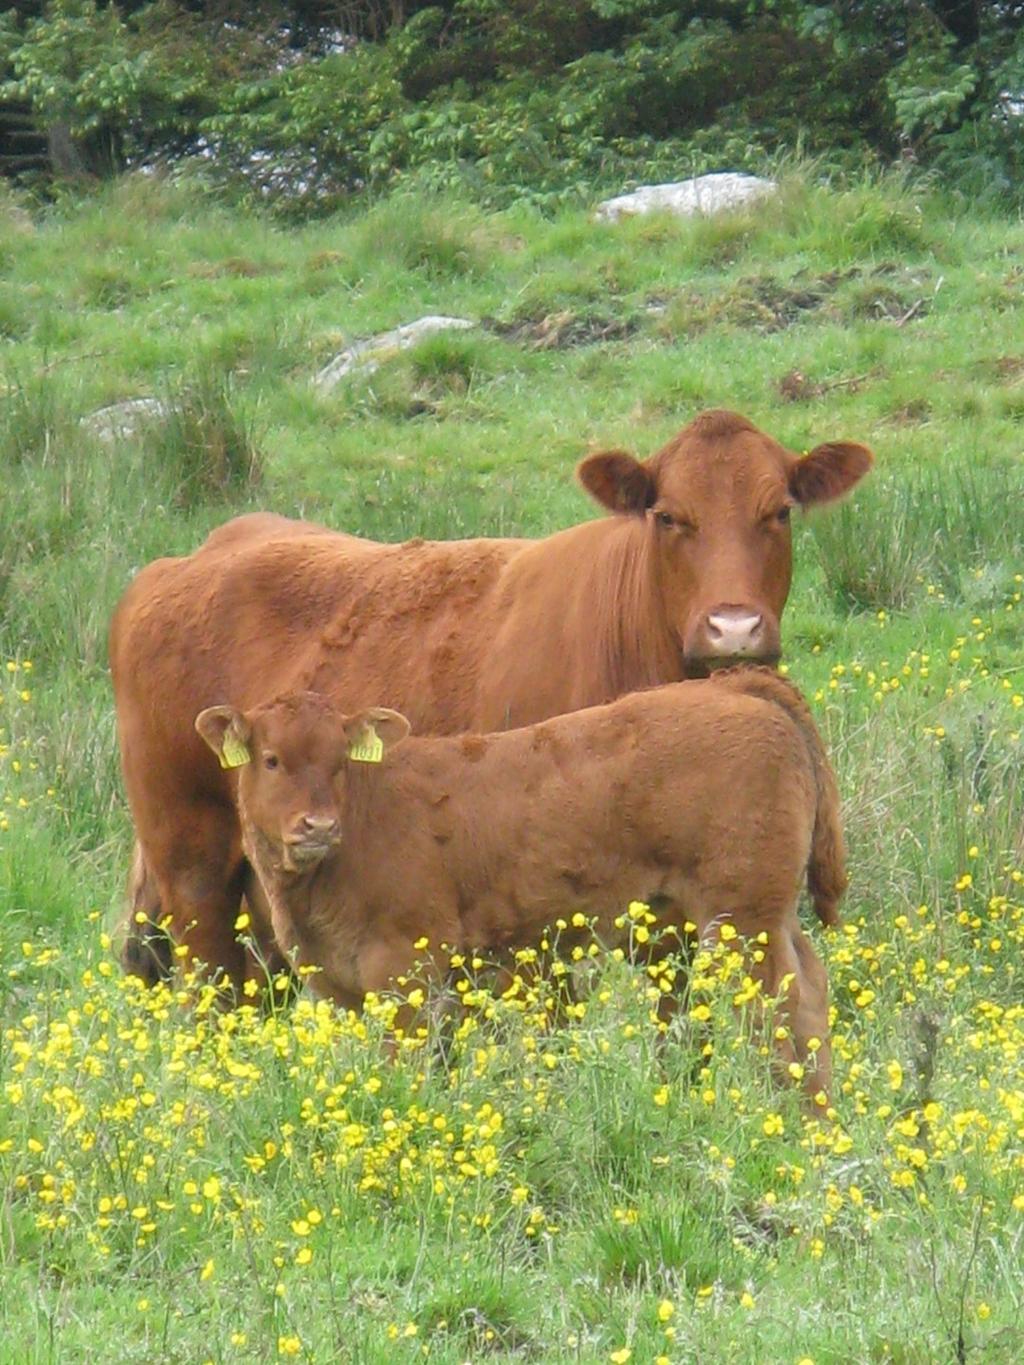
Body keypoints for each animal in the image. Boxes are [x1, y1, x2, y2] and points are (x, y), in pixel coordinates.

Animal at [196, 671, 846, 1097]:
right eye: (272, 760)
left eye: (339, 764)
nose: (319, 827)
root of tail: (733, 686)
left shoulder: (404, 970)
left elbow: (404, 1064)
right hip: (756, 917)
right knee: (810, 990)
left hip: (742, 923)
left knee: (786, 1010)